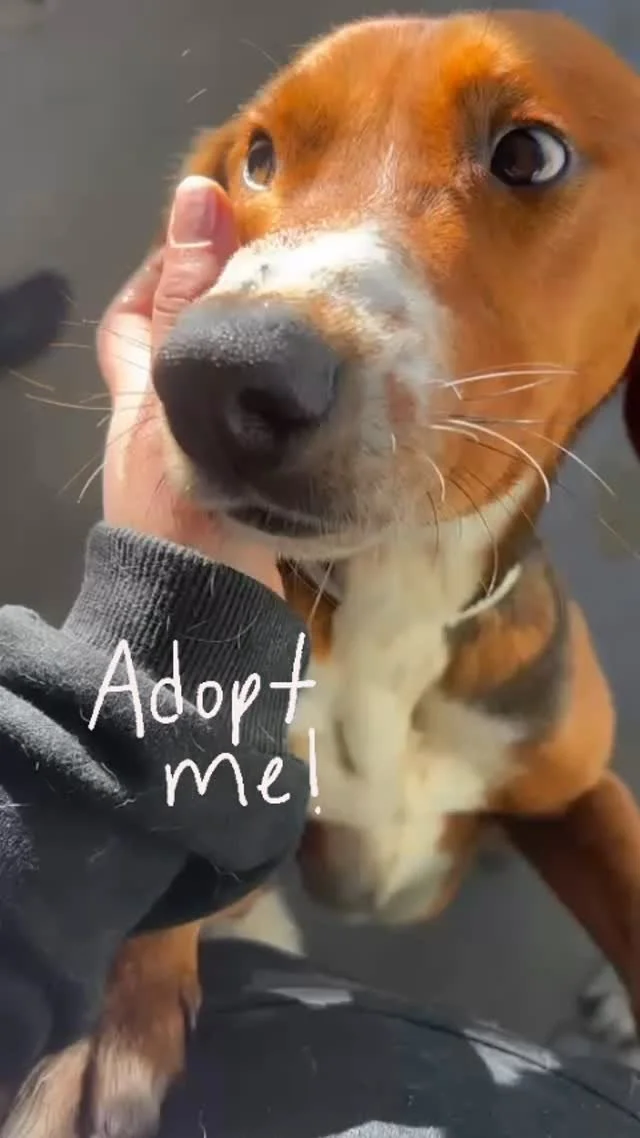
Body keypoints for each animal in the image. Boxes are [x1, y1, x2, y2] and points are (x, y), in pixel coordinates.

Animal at [6, 10, 640, 1138]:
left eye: (530, 153)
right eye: (259, 156)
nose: (214, 378)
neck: (397, 593)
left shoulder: (577, 786)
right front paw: (112, 1021)